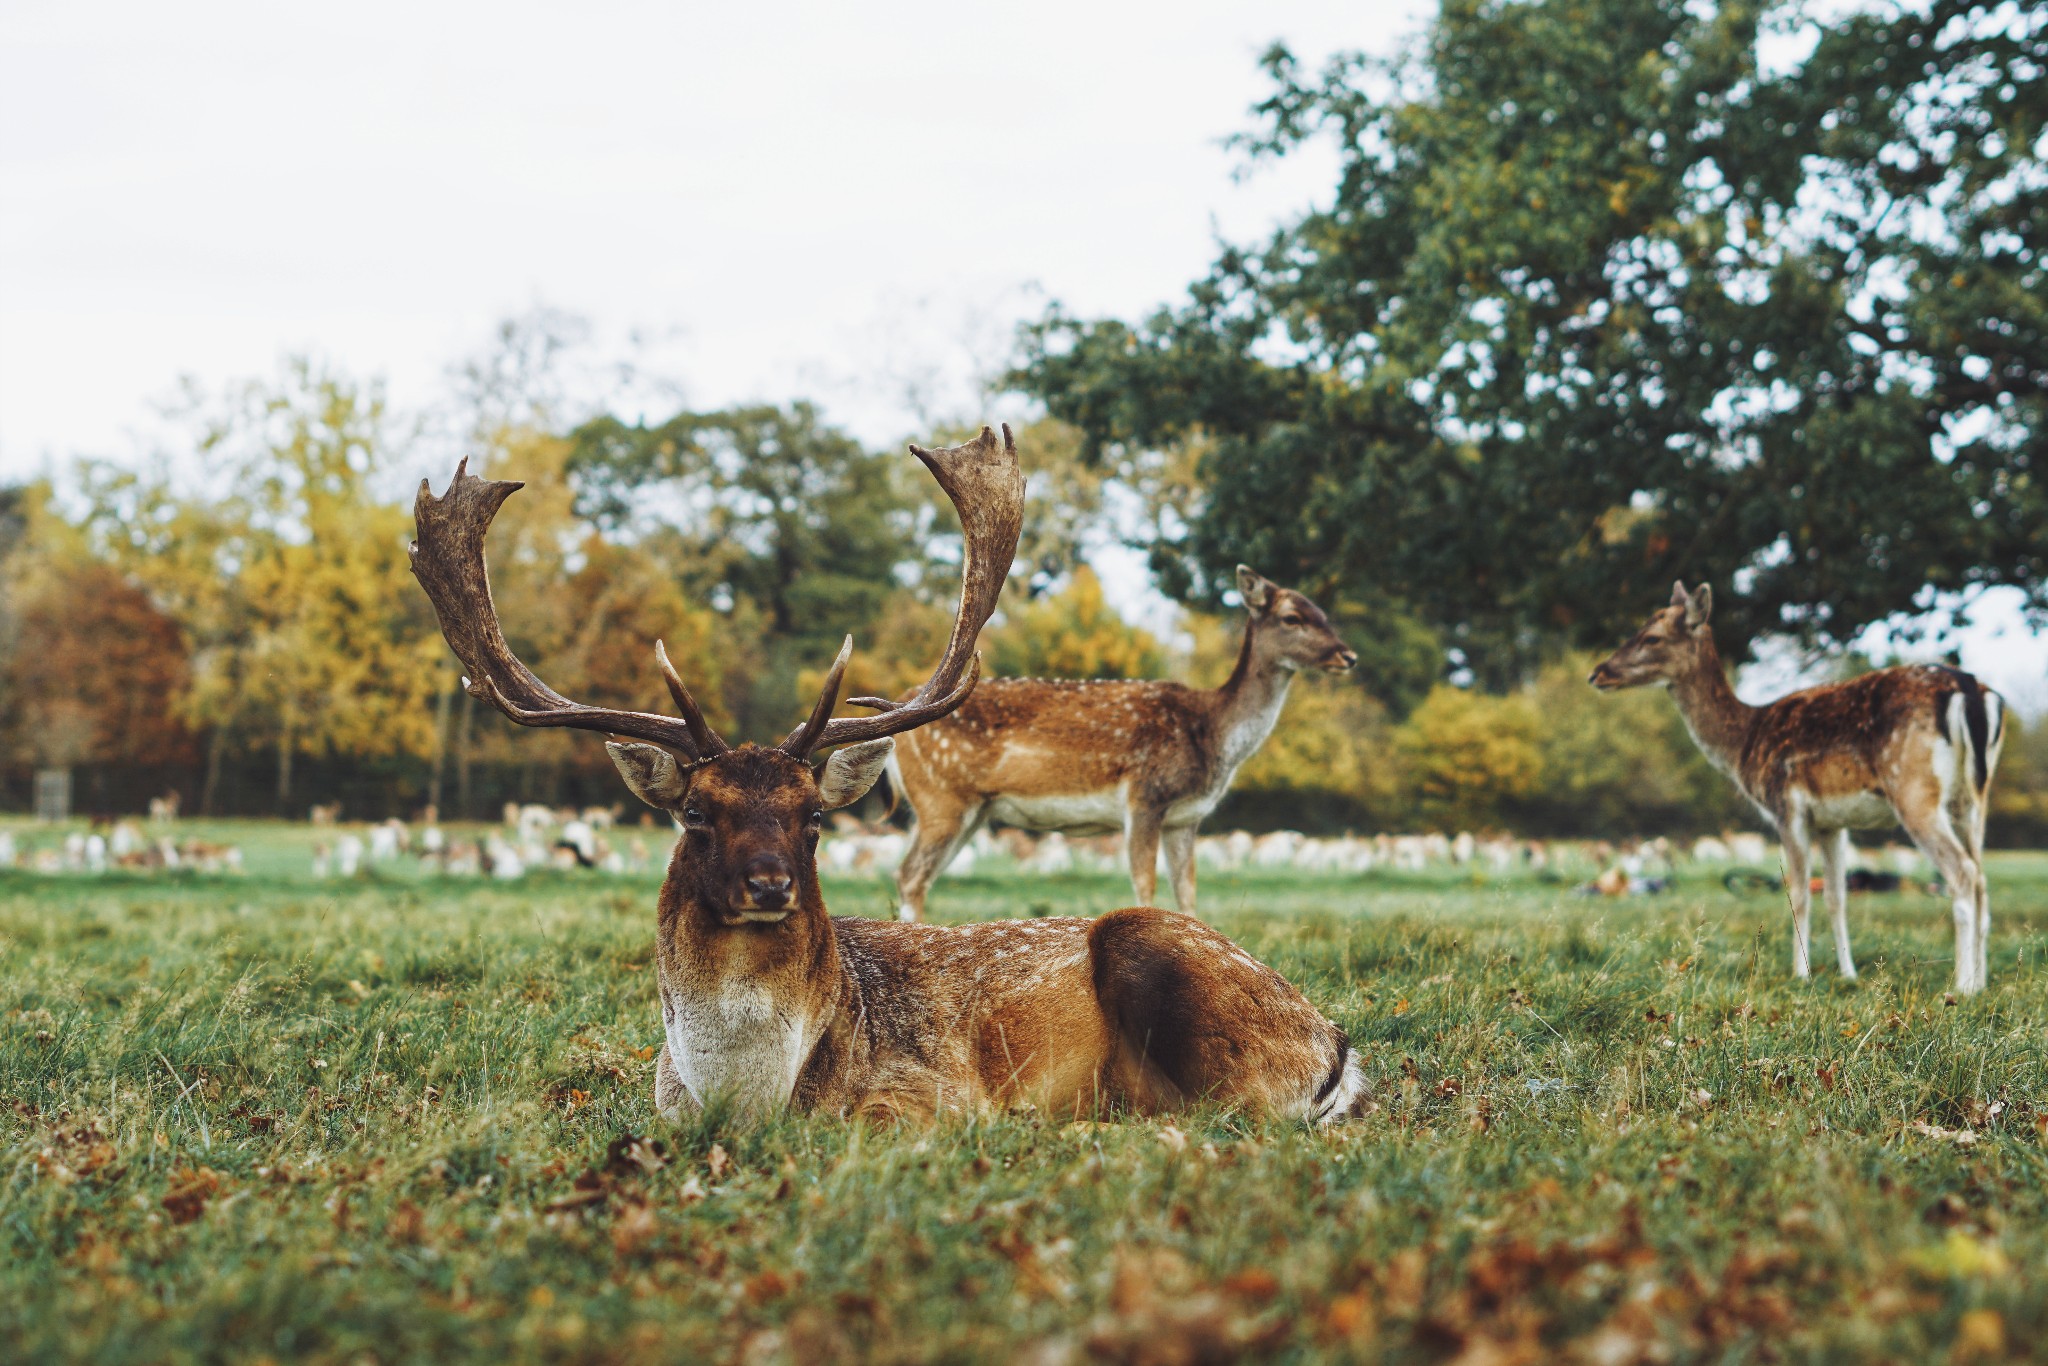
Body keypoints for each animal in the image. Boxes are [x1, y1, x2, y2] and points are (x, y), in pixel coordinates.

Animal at [884, 565, 1351, 917]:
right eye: (1292, 617)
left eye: (1323, 612)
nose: (1348, 655)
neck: (1212, 734)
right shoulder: (1145, 796)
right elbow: (1146, 888)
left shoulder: (1187, 817)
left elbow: (1188, 894)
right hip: (941, 798)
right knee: (909, 875)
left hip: (972, 809)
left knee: (916, 876)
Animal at [1589, 585, 2007, 995]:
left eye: (1652, 636)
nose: (1598, 672)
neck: (1743, 745)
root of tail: (1970, 691)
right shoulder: (1833, 823)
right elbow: (1836, 897)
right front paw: (1848, 974)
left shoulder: (1785, 807)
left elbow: (1800, 893)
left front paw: (1800, 974)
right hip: (1973, 798)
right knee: (1983, 877)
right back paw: (1982, 981)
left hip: (1914, 789)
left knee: (1963, 873)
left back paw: (1962, 986)